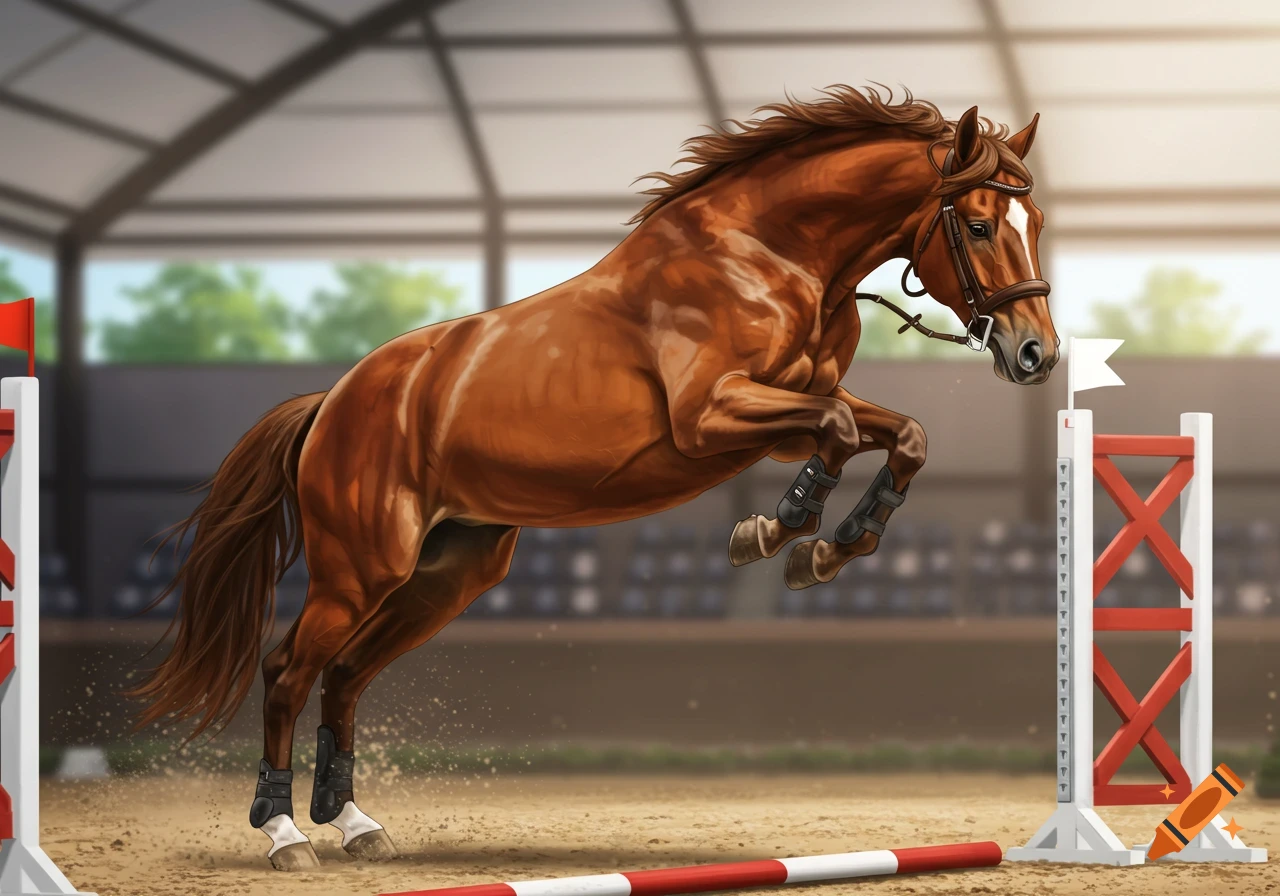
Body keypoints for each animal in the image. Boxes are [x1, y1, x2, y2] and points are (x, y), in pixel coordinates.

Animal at [129, 87, 1058, 871]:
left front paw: (827, 550)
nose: (1036, 355)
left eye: (1037, 218)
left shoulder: (795, 405)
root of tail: (333, 400)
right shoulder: (713, 417)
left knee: (347, 675)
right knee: (290, 670)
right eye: (980, 226)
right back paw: (287, 834)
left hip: (448, 573)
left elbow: (905, 436)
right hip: (361, 568)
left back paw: (358, 827)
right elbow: (832, 434)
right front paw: (773, 534)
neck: (771, 256)